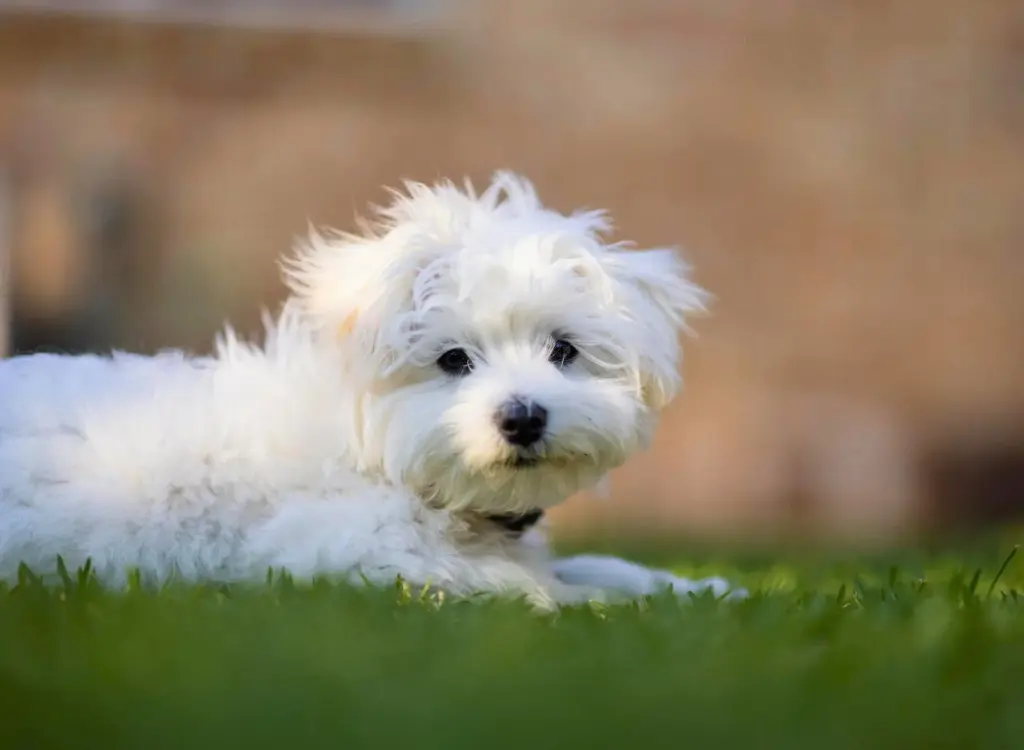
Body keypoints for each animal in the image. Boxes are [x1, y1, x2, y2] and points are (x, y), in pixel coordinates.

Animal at [0, 174, 745, 610]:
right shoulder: (338, 550)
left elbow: (602, 565)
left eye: (563, 350)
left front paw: (695, 586)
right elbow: (526, 585)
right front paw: (577, 600)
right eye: (452, 359)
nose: (523, 417)